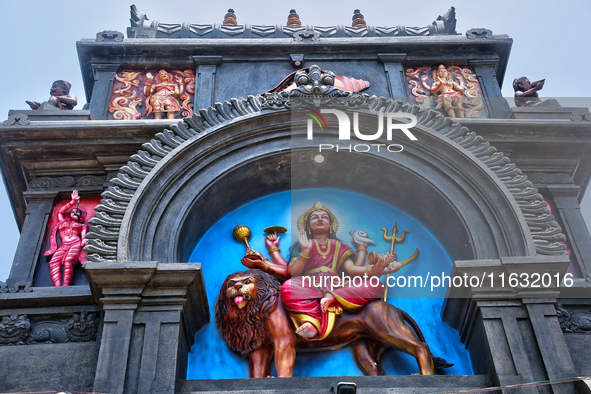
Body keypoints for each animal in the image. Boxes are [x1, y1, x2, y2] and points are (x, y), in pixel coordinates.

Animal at [217, 270, 454, 378]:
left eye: (248, 281)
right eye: (231, 284)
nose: (236, 286)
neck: (255, 310)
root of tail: (393, 307)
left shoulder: (283, 338)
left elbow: (284, 361)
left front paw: (281, 380)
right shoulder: (260, 345)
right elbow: (257, 366)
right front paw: (261, 380)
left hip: (387, 327)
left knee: (421, 347)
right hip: (365, 345)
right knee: (375, 367)